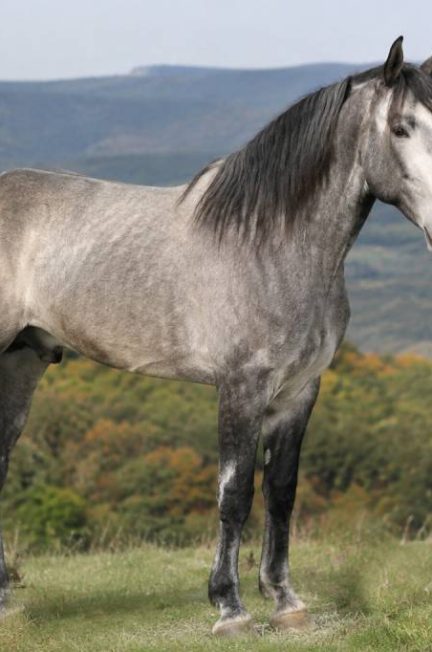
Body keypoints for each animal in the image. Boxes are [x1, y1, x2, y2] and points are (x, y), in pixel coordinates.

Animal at [0, 36, 432, 635]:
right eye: (400, 128)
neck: (272, 246)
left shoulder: (300, 391)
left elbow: (281, 491)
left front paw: (285, 601)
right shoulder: (241, 387)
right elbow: (235, 493)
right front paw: (229, 606)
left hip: (24, 359)